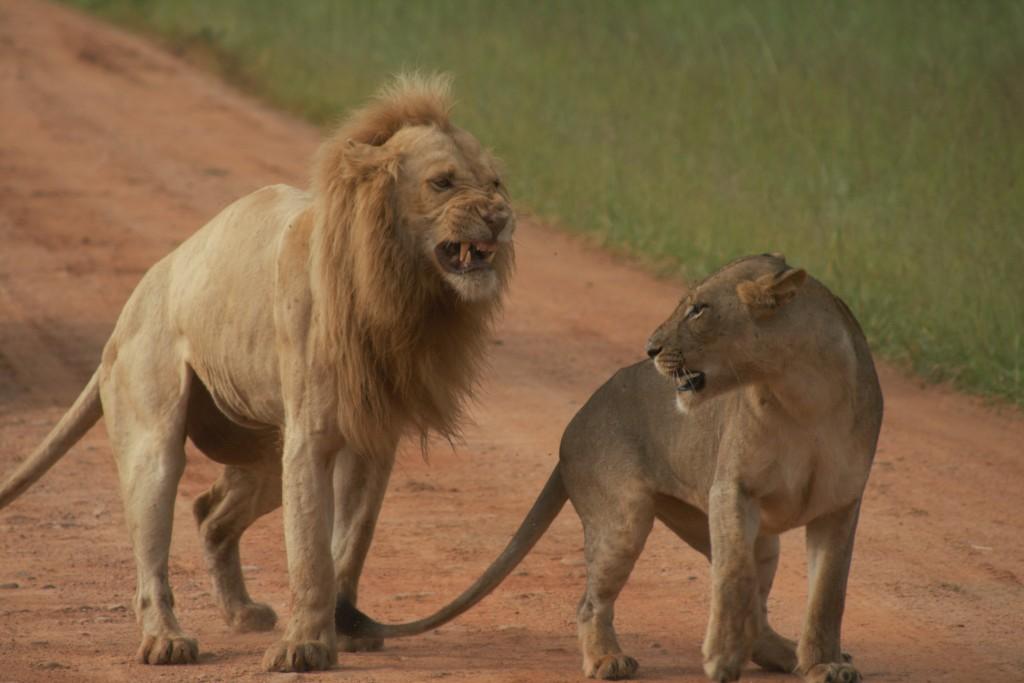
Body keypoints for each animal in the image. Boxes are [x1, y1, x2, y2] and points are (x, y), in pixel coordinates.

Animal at [0, 74, 512, 671]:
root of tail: (128, 310)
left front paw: (346, 627)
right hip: (155, 439)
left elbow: (349, 543)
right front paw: (305, 646)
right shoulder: (311, 436)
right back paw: (166, 640)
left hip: (265, 450)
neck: (400, 287)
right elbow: (310, 552)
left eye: (495, 182)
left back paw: (243, 612)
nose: (500, 216)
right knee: (153, 555)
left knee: (210, 513)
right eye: (442, 182)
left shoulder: (372, 438)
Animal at [335, 255, 880, 683]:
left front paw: (824, 664)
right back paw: (607, 661)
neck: (802, 391)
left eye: (699, 309)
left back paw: (787, 656)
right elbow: (732, 578)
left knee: (760, 609)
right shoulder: (731, 491)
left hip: (745, 535)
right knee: (590, 601)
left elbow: (827, 594)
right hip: (624, 517)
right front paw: (721, 659)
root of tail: (574, 423)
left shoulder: (842, 504)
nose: (651, 348)